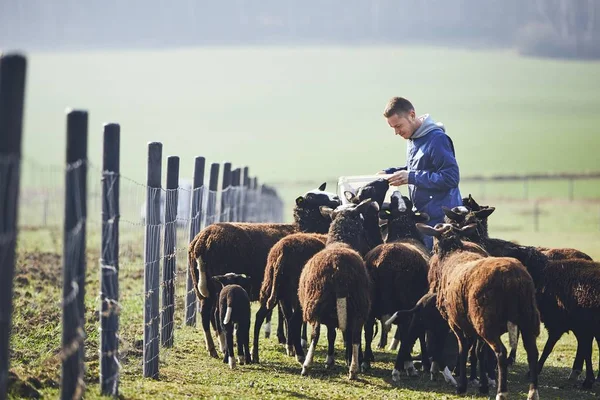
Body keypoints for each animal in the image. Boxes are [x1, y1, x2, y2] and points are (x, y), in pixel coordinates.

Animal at [189, 183, 338, 358]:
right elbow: (288, 314)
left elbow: (283, 312)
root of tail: (201, 241)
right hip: (219, 284)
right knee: (213, 314)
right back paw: (220, 347)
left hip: (203, 286)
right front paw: (295, 342)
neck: (301, 228)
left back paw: (216, 346)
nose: (337, 199)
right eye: (314, 198)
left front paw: (286, 340)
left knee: (207, 313)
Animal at [298, 198, 378, 380]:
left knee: (316, 333)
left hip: (318, 302)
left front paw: (329, 361)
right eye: (361, 222)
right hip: (357, 304)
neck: (340, 241)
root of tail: (339, 268)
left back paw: (307, 365)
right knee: (354, 335)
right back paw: (353, 369)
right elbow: (333, 334)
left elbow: (330, 334)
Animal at [420, 223, 540, 398]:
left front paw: (462, 386)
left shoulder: (455, 322)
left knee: (501, 353)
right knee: (533, 353)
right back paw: (533, 393)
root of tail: (512, 278)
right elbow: (479, 352)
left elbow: (463, 350)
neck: (452, 252)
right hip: (527, 318)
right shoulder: (472, 323)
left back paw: (501, 393)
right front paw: (482, 385)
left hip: (487, 321)